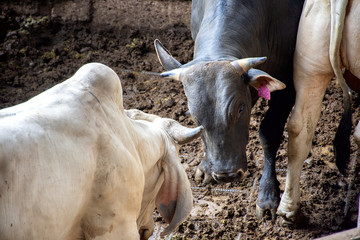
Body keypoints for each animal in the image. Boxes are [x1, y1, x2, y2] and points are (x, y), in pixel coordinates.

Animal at [155, 0, 304, 222]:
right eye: (195, 116)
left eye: (240, 108)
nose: (227, 175)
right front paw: (206, 168)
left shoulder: (288, 84)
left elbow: (269, 134)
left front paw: (267, 197)